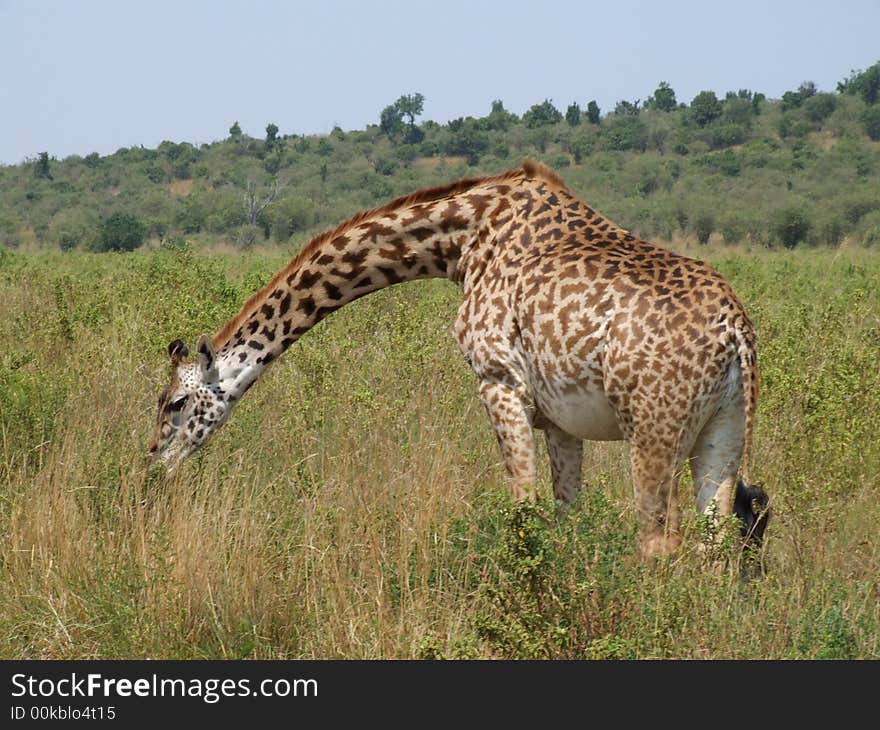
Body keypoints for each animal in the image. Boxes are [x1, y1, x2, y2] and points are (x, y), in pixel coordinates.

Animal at [151, 159, 768, 556]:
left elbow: (523, 510)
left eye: (174, 403)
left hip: (654, 428)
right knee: (716, 540)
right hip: (723, 430)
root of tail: (735, 329)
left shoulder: (498, 381)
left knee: (659, 542)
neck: (460, 241)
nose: (153, 469)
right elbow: (565, 516)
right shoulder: (560, 416)